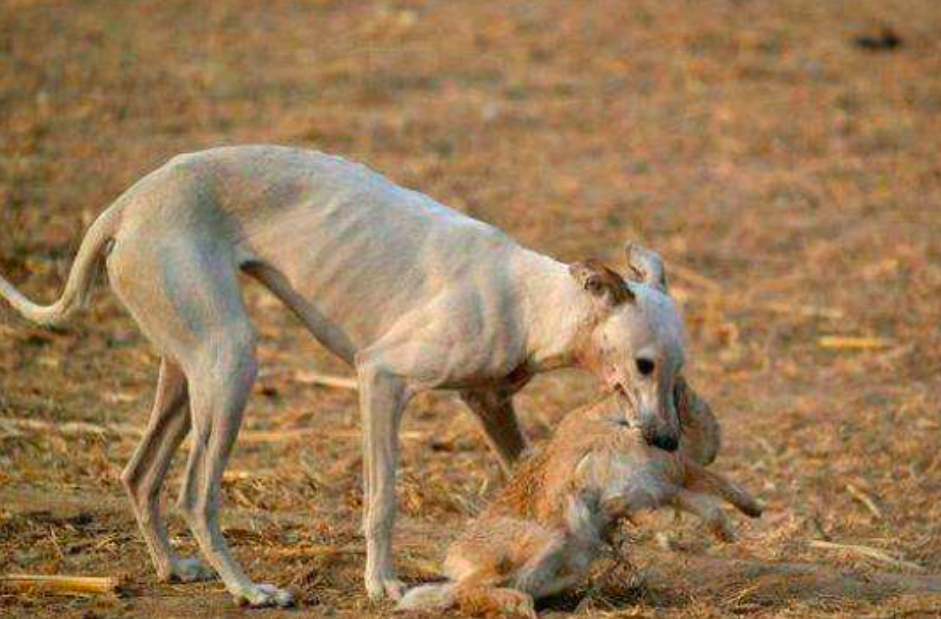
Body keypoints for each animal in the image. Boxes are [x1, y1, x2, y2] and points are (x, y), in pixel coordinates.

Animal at [0, 145, 684, 604]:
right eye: (644, 364)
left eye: (679, 375)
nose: (668, 440)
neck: (534, 300)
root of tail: (126, 204)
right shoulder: (379, 378)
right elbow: (382, 498)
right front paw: (382, 583)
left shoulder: (489, 405)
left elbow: (533, 484)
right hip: (230, 363)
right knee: (196, 493)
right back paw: (248, 590)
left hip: (186, 368)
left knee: (139, 474)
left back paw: (173, 567)